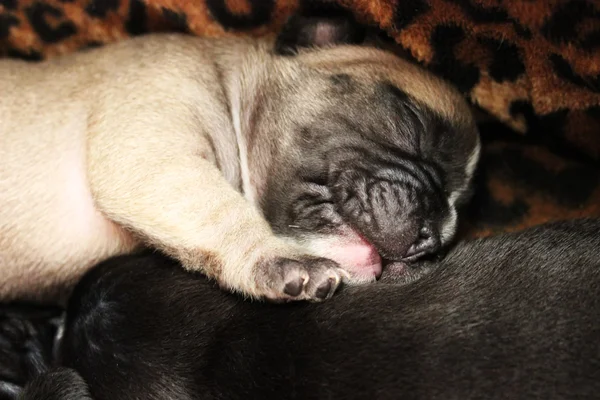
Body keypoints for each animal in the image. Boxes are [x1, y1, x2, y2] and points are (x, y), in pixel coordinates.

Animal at [0, 9, 478, 304]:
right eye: (411, 120)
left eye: (457, 211)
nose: (435, 234)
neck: (228, 84)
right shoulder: (153, 151)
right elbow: (223, 211)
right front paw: (276, 258)